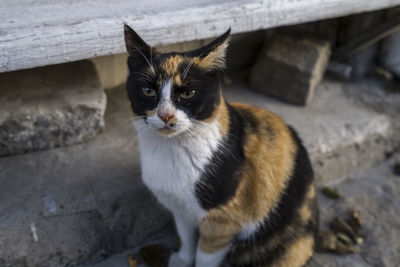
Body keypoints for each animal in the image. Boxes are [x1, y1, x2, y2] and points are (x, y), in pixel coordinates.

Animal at [123, 24, 318, 266]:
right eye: (148, 91)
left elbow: (204, 257)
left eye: (188, 93)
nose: (165, 115)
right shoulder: (181, 209)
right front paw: (183, 259)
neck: (170, 150)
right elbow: (186, 236)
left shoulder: (222, 223)